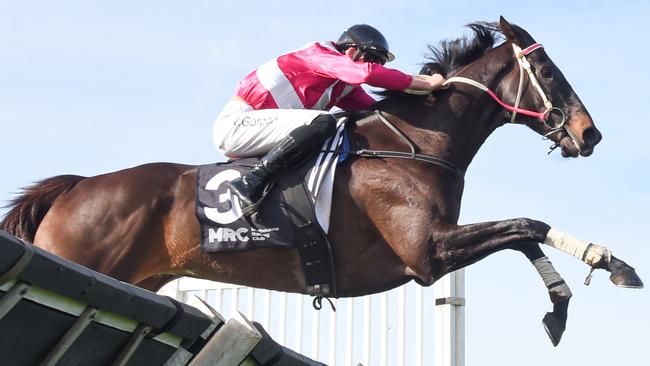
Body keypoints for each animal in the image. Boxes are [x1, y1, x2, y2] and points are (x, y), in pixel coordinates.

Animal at [0, 15, 636, 346]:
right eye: (548, 71)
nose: (590, 134)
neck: (413, 147)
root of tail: (74, 188)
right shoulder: (426, 253)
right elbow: (528, 224)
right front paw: (580, 291)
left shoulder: (434, 248)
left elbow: (528, 231)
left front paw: (604, 268)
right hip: (85, 260)